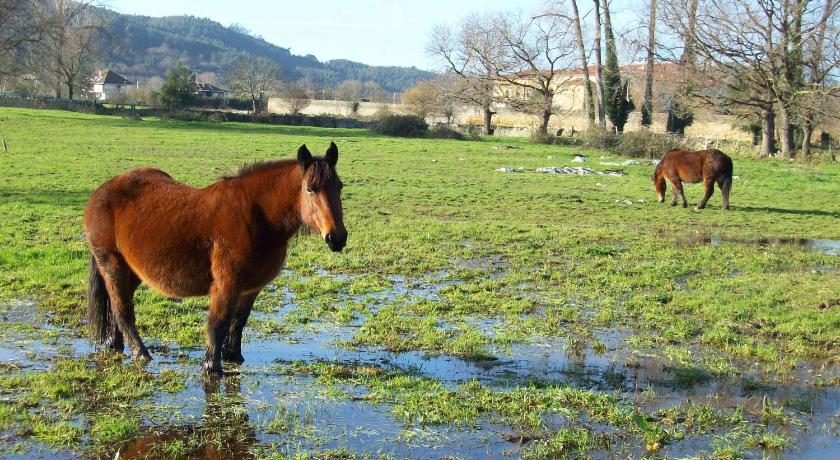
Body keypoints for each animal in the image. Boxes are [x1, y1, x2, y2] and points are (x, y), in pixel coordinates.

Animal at [83, 143, 346, 374]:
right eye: (310, 188)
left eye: (340, 186)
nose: (337, 238)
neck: (257, 217)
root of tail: (102, 191)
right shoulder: (226, 284)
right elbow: (218, 323)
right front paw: (212, 366)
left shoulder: (251, 288)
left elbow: (239, 321)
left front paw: (233, 356)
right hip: (112, 264)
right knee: (122, 310)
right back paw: (140, 353)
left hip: (133, 271)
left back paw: (114, 344)